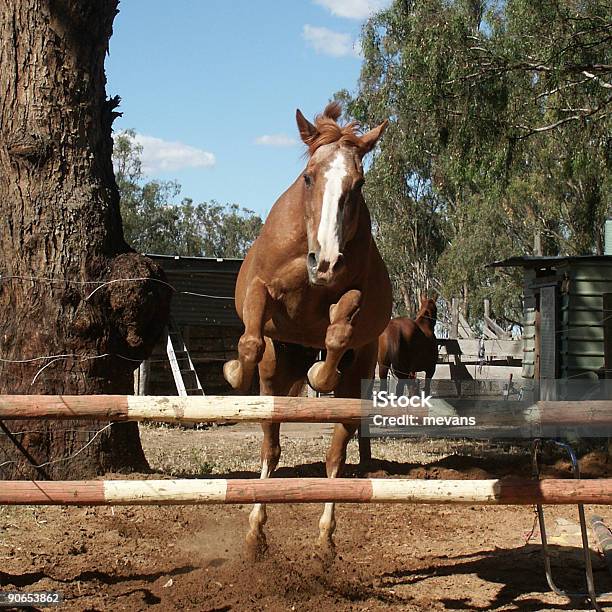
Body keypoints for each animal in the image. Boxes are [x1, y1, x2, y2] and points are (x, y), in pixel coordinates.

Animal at [222, 103, 390, 560]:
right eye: (309, 177)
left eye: (358, 184)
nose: (325, 263)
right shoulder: (260, 291)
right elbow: (249, 339)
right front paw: (234, 372)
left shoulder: (351, 296)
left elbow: (338, 329)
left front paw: (320, 374)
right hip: (275, 375)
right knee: (271, 448)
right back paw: (255, 532)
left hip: (356, 382)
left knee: (335, 458)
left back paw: (324, 540)